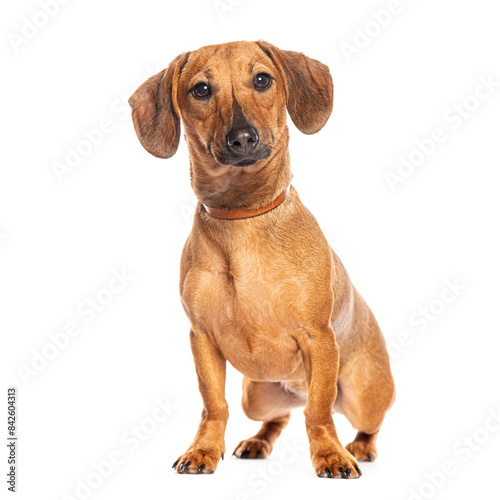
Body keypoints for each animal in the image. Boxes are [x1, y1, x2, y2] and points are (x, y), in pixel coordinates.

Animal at [129, 41, 394, 478]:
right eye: (201, 90)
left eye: (262, 80)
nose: (242, 137)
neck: (243, 218)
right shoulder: (202, 339)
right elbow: (213, 405)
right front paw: (204, 449)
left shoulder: (318, 339)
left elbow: (320, 413)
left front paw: (331, 454)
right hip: (256, 396)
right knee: (281, 417)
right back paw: (258, 441)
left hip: (362, 395)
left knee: (356, 419)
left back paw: (359, 445)